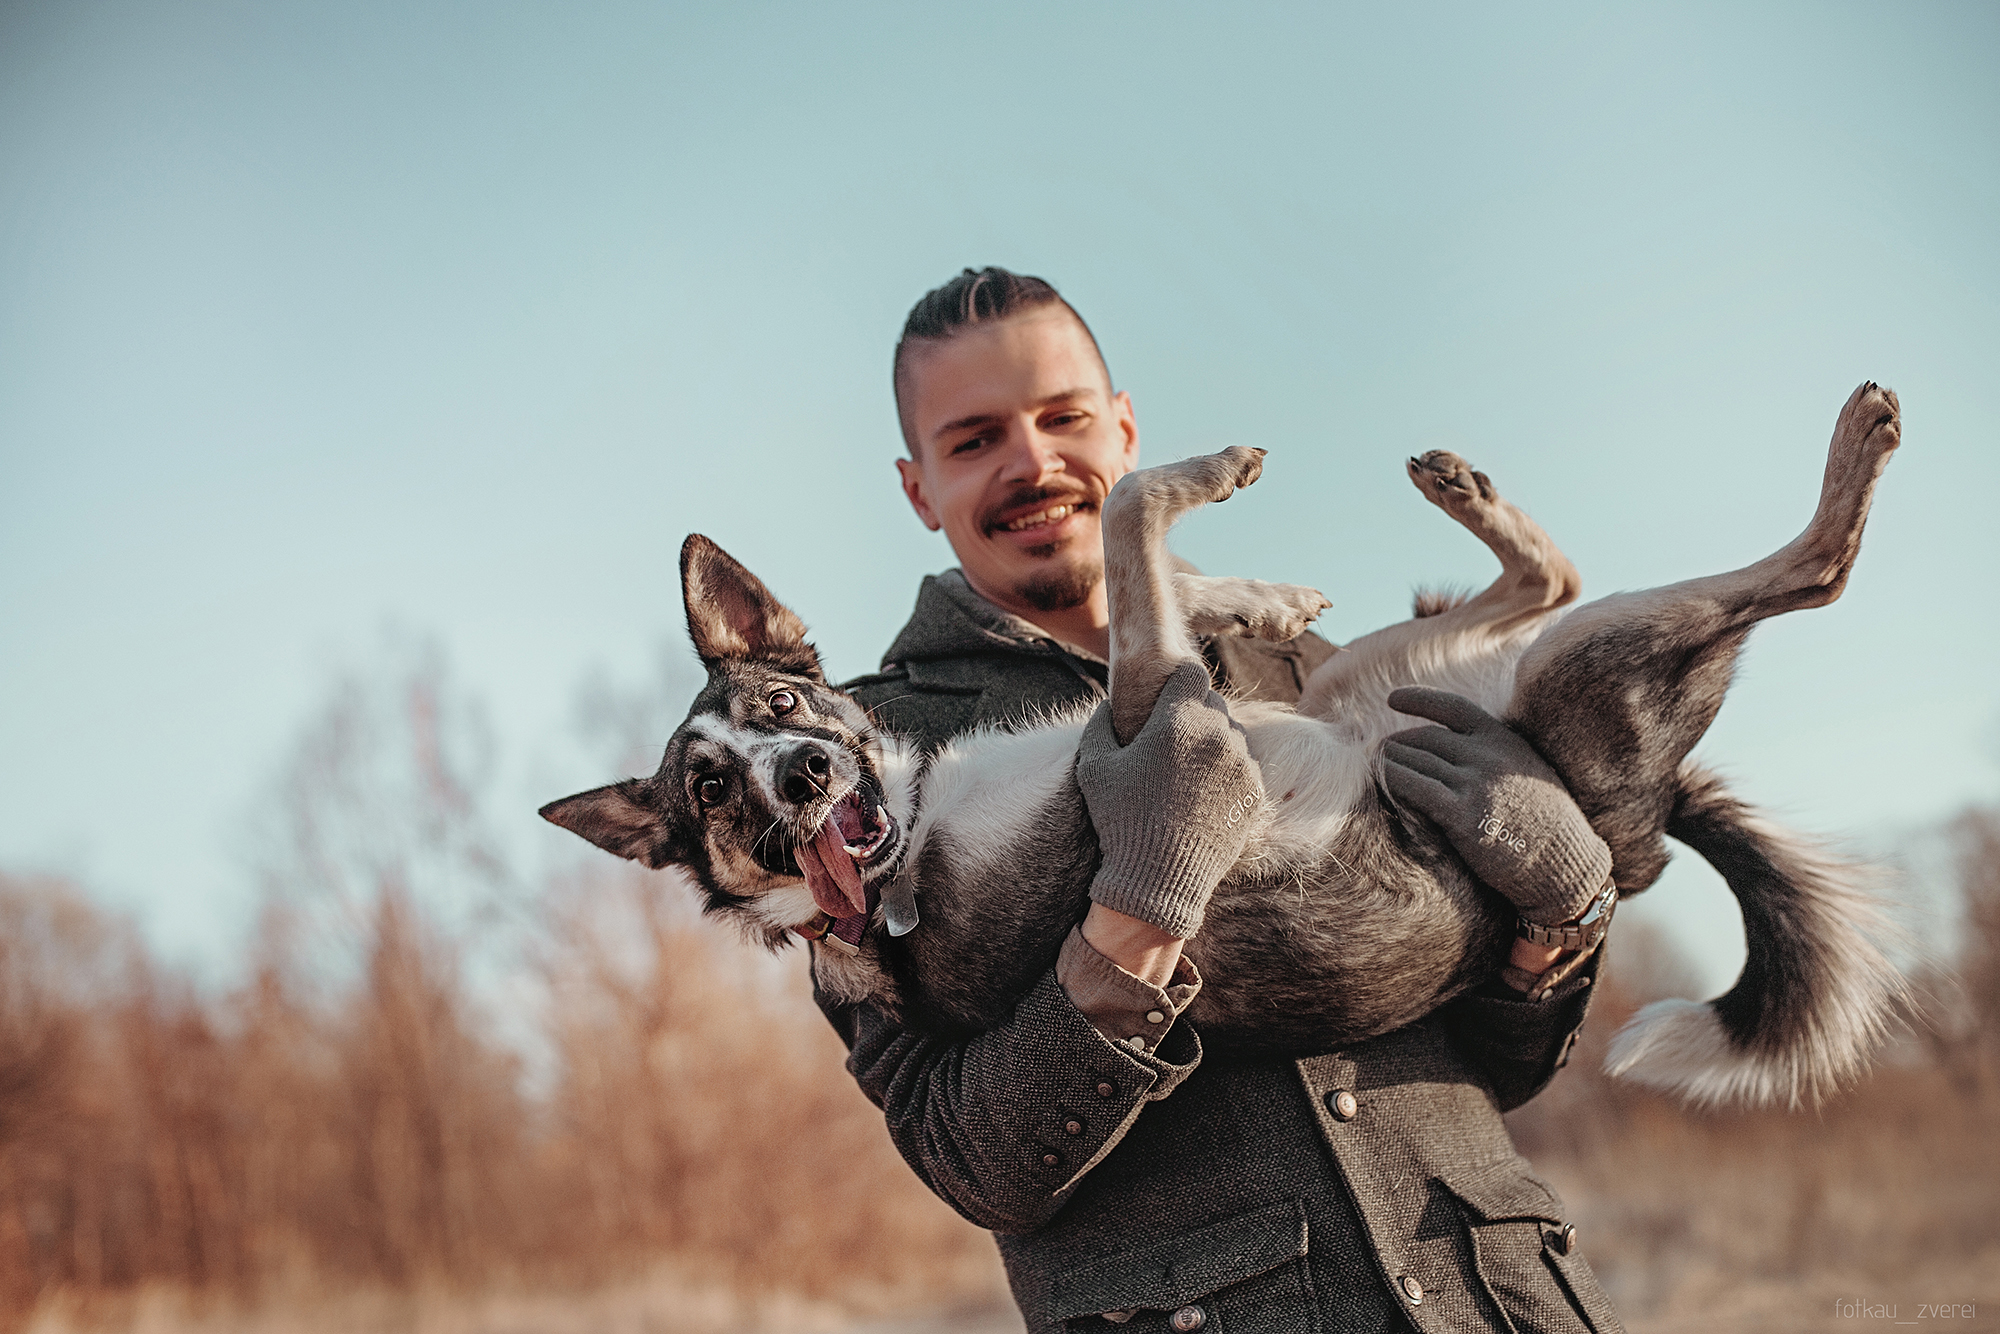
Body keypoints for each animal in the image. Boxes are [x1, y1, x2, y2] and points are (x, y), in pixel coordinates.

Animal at [544, 384, 1904, 1104]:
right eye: (711, 791)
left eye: (781, 708)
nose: (806, 777)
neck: (904, 855)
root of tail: (1636, 827)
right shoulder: (1156, 701)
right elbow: (1127, 501)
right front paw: (1212, 502)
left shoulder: (1160, 675)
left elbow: (1145, 551)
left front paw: (1252, 593)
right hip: (1590, 657)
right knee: (1810, 574)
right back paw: (1857, 451)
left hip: (1373, 681)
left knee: (1546, 574)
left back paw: (1449, 495)